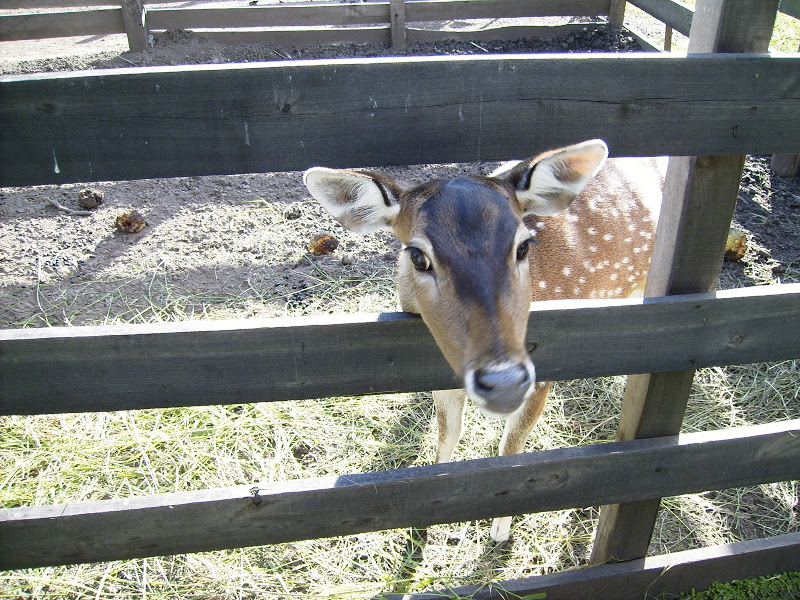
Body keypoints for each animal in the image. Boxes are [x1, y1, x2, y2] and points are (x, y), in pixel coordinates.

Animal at [304, 141, 664, 544]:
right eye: (418, 256)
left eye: (524, 247)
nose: (504, 383)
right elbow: (447, 434)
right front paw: (426, 519)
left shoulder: (541, 376)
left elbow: (512, 446)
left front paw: (500, 529)